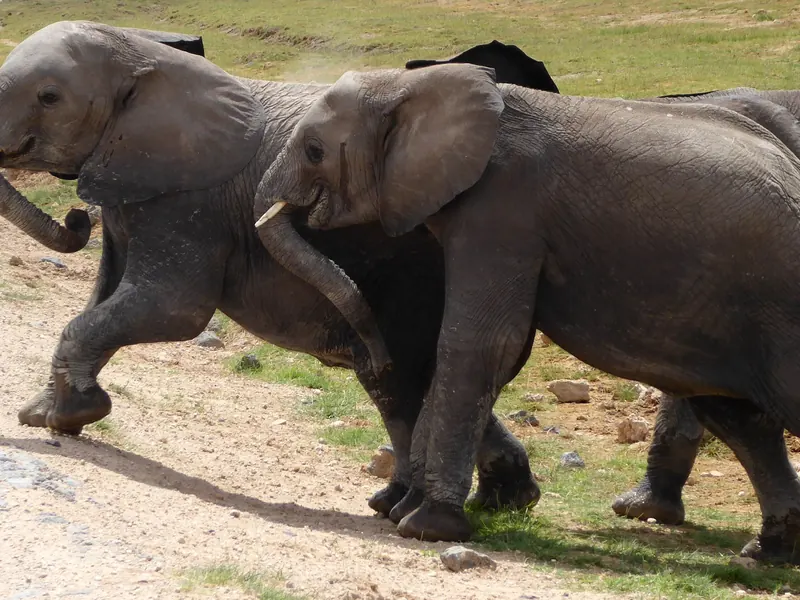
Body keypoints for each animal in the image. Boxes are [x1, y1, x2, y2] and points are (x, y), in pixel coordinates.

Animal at [0, 22, 573, 522]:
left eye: (48, 97)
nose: (76, 219)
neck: (142, 54)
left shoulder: (189, 203)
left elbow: (174, 308)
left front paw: (71, 415)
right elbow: (103, 296)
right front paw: (45, 413)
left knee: (412, 368)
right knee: (404, 376)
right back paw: (499, 501)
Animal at [252, 62, 800, 556]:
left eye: (315, 150)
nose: (377, 354)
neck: (414, 83)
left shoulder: (504, 207)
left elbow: (480, 343)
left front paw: (426, 527)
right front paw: (406, 511)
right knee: (735, 415)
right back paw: (768, 551)